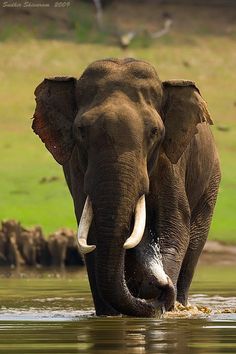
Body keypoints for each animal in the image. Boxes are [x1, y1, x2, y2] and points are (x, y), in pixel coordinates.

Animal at [31, 58, 221, 318]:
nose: (161, 286)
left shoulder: (169, 162)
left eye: (155, 132)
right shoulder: (77, 167)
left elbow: (173, 226)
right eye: (81, 131)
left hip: (211, 184)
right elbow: (92, 234)